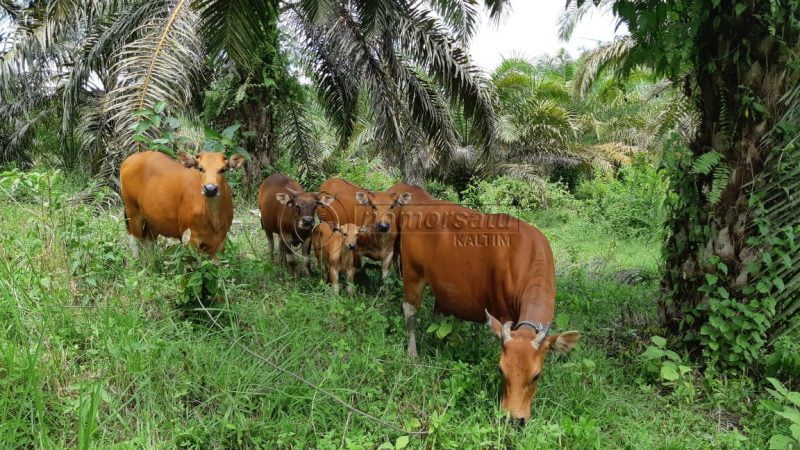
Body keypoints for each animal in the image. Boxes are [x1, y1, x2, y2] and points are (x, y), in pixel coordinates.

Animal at [400, 201, 580, 426]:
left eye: (537, 376)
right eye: (501, 370)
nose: (514, 419)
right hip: (412, 274)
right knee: (410, 312)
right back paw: (412, 354)